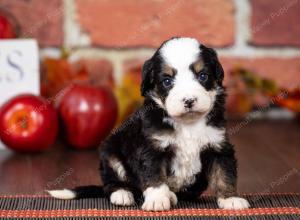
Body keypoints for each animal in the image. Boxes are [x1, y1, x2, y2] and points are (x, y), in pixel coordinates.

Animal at [48, 37, 251, 211]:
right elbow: (154, 177)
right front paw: (157, 200)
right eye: (167, 81)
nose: (189, 100)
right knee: (110, 184)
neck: (187, 124)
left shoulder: (218, 145)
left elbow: (224, 173)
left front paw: (231, 199)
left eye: (202, 76)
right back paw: (123, 194)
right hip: (111, 153)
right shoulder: (152, 148)